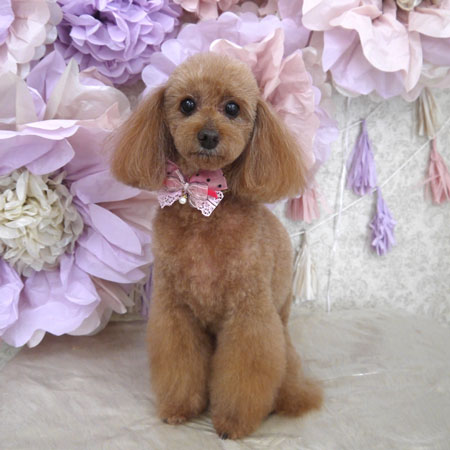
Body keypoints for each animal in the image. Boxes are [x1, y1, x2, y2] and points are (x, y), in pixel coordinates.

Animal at [111, 52, 322, 439]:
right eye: (187, 104)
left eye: (232, 108)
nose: (208, 135)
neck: (203, 211)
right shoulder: (175, 309)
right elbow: (179, 360)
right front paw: (179, 409)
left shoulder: (249, 313)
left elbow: (245, 369)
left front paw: (233, 423)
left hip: (281, 337)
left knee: (289, 381)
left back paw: (291, 399)